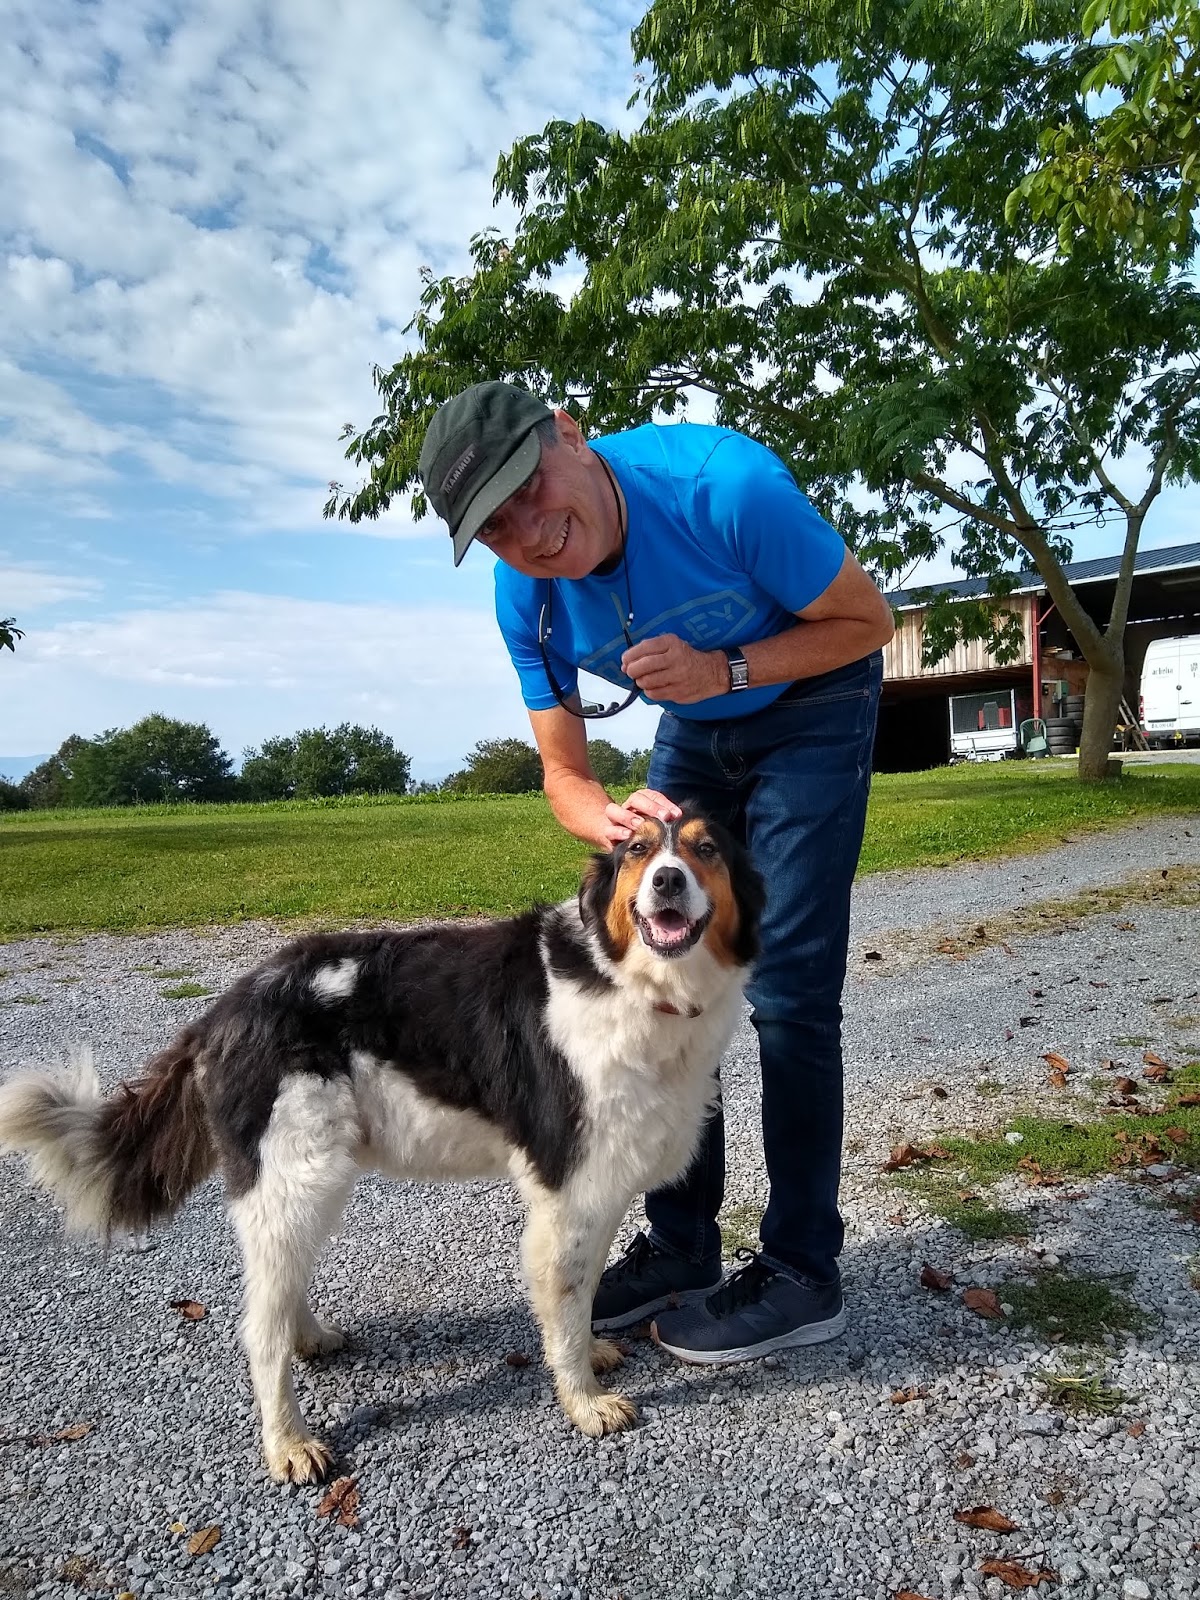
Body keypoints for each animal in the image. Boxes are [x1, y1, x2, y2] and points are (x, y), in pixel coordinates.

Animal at [0, 807, 762, 1482]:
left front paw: (594, 1356)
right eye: (637, 849)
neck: (628, 978)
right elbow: (568, 1303)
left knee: (281, 1287)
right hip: (298, 1175)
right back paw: (288, 1444)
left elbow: (582, 1291)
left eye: (706, 849)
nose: (668, 881)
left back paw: (310, 1338)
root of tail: (224, 1011)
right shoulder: (569, 1186)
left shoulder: (595, 1185)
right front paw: (585, 1402)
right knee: (259, 1328)